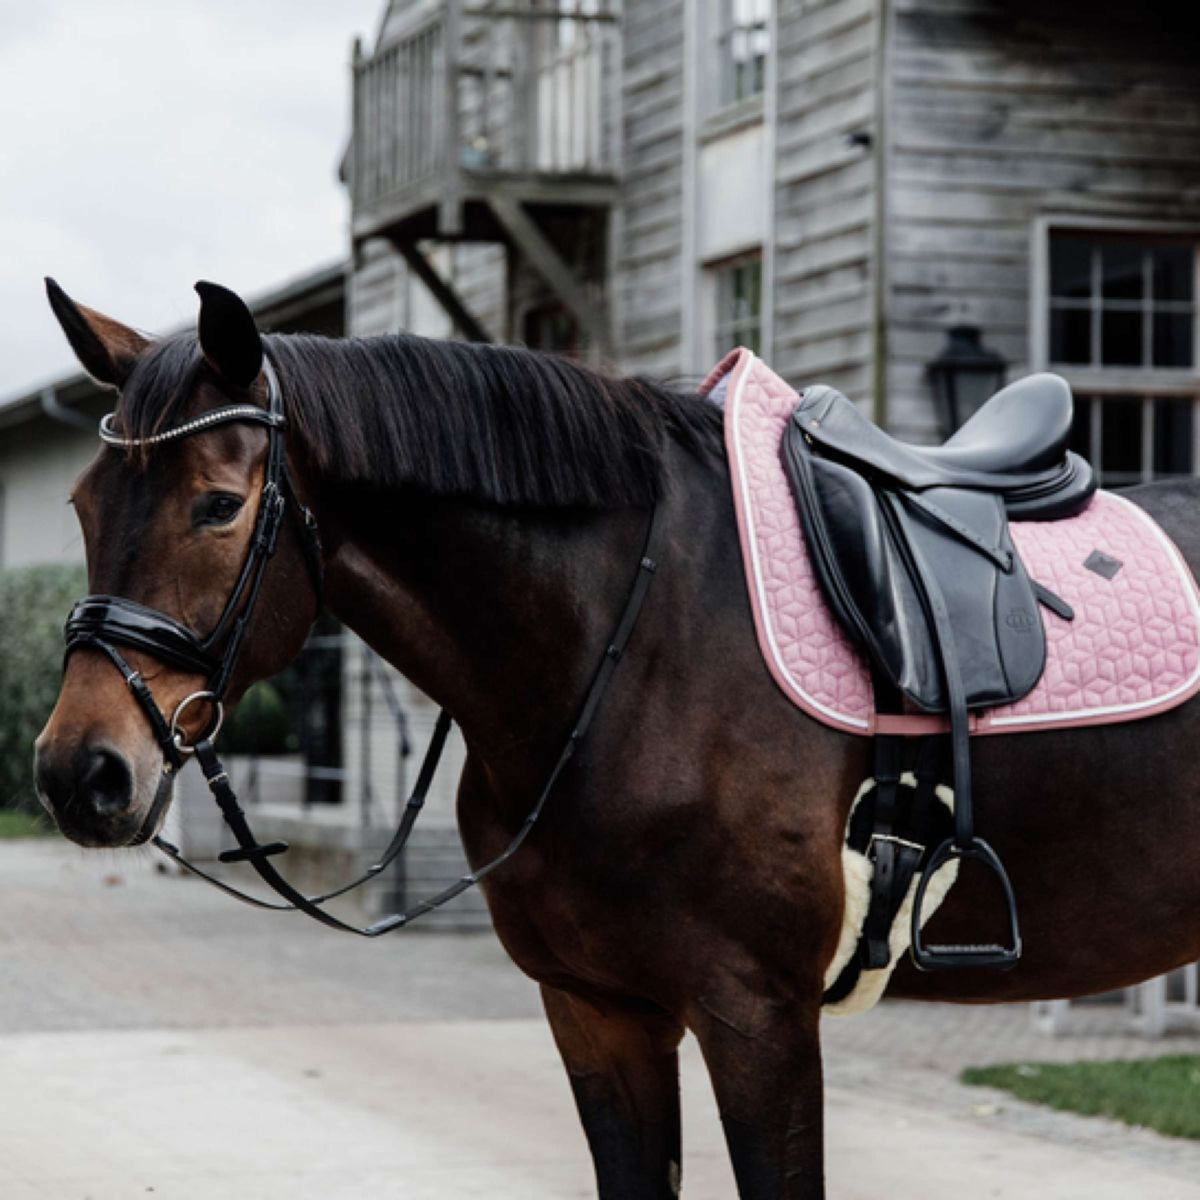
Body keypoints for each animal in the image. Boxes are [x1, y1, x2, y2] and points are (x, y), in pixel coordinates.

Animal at [30, 276, 1200, 1195]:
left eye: (219, 505)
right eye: (83, 503)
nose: (80, 773)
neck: (636, 645)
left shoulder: (759, 1020)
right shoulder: (597, 1012)